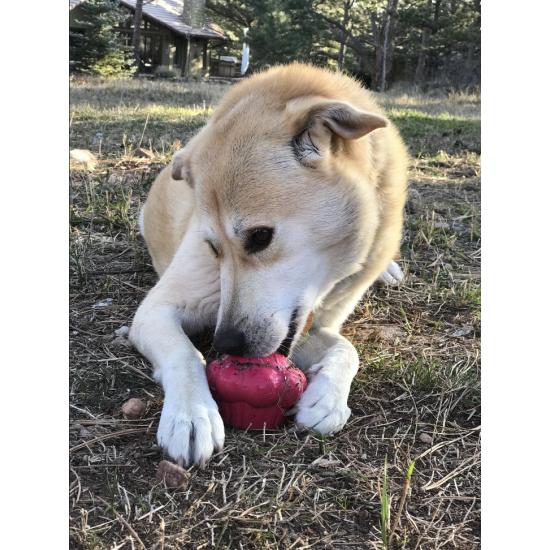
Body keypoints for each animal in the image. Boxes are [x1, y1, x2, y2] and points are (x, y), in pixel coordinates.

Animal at [130, 64, 410, 470]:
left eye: (261, 237)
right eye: (212, 247)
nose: (224, 343)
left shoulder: (313, 326)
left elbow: (348, 349)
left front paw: (327, 400)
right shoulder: (155, 310)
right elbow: (185, 354)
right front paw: (192, 414)